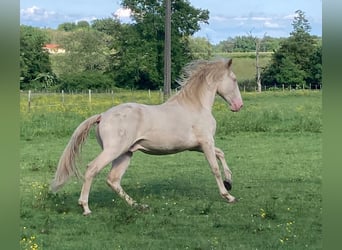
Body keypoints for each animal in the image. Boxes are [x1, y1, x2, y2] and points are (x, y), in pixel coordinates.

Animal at [50, 58, 243, 215]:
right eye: (234, 80)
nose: (238, 106)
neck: (196, 105)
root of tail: (102, 116)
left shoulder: (197, 146)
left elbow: (221, 154)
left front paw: (229, 181)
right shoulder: (206, 142)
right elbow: (214, 167)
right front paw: (228, 195)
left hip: (125, 154)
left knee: (113, 180)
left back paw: (139, 206)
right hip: (114, 151)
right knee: (92, 169)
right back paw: (86, 208)